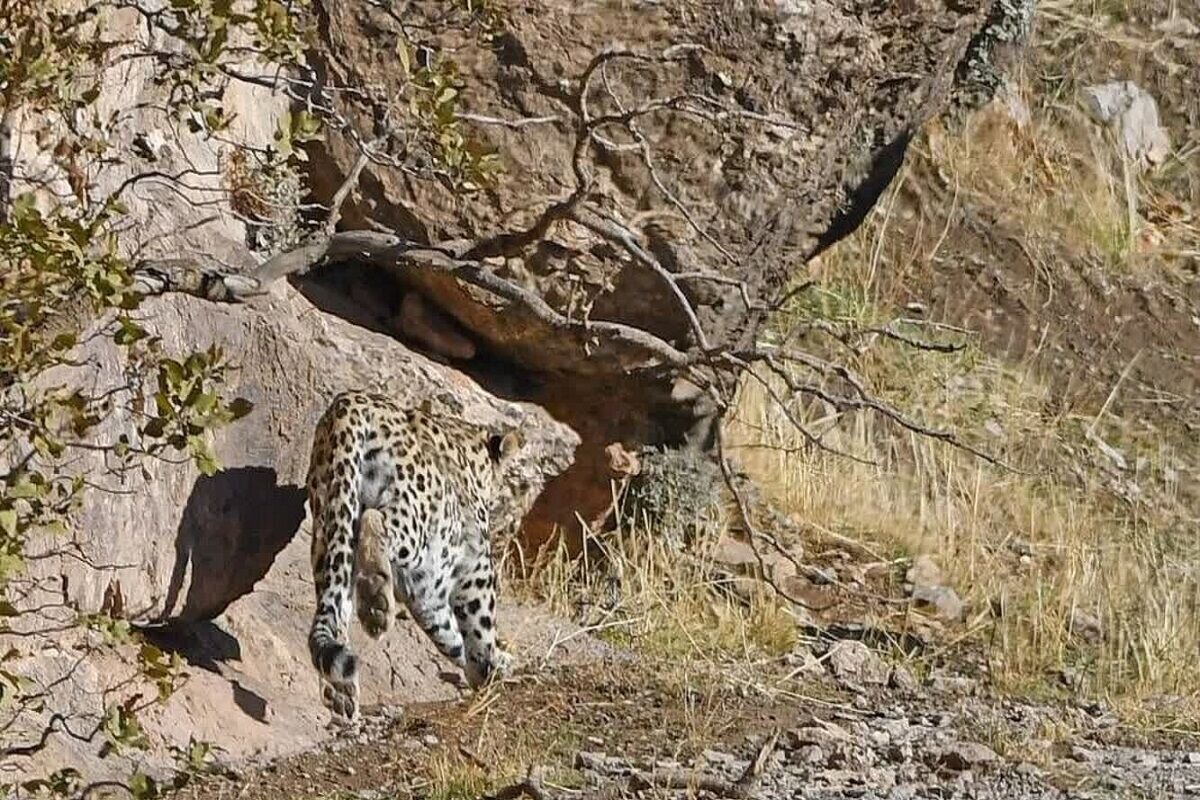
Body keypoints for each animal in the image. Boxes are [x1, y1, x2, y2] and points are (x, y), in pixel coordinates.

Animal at [304, 391, 520, 724]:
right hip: (412, 515)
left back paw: (339, 692)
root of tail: (348, 403)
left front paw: (485, 668)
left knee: (333, 603)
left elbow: (448, 633)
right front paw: (491, 665)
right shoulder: (474, 566)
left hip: (330, 520)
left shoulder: (427, 587)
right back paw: (376, 604)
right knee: (374, 520)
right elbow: (479, 624)